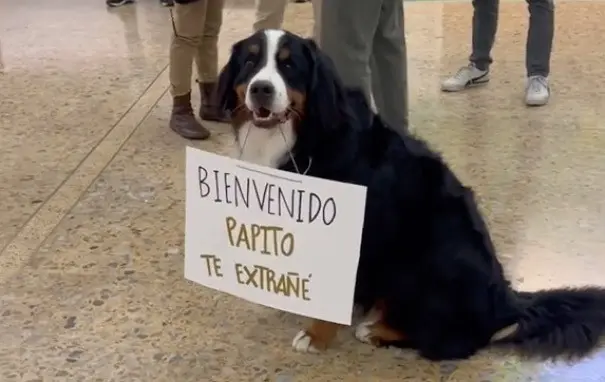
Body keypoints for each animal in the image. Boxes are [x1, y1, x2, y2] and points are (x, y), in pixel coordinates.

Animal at [215, 29, 604, 362]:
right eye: (250, 62)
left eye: (289, 65)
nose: (261, 89)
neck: (304, 138)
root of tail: (506, 300)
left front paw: (316, 335)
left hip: (428, 261)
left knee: (454, 341)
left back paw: (376, 330)